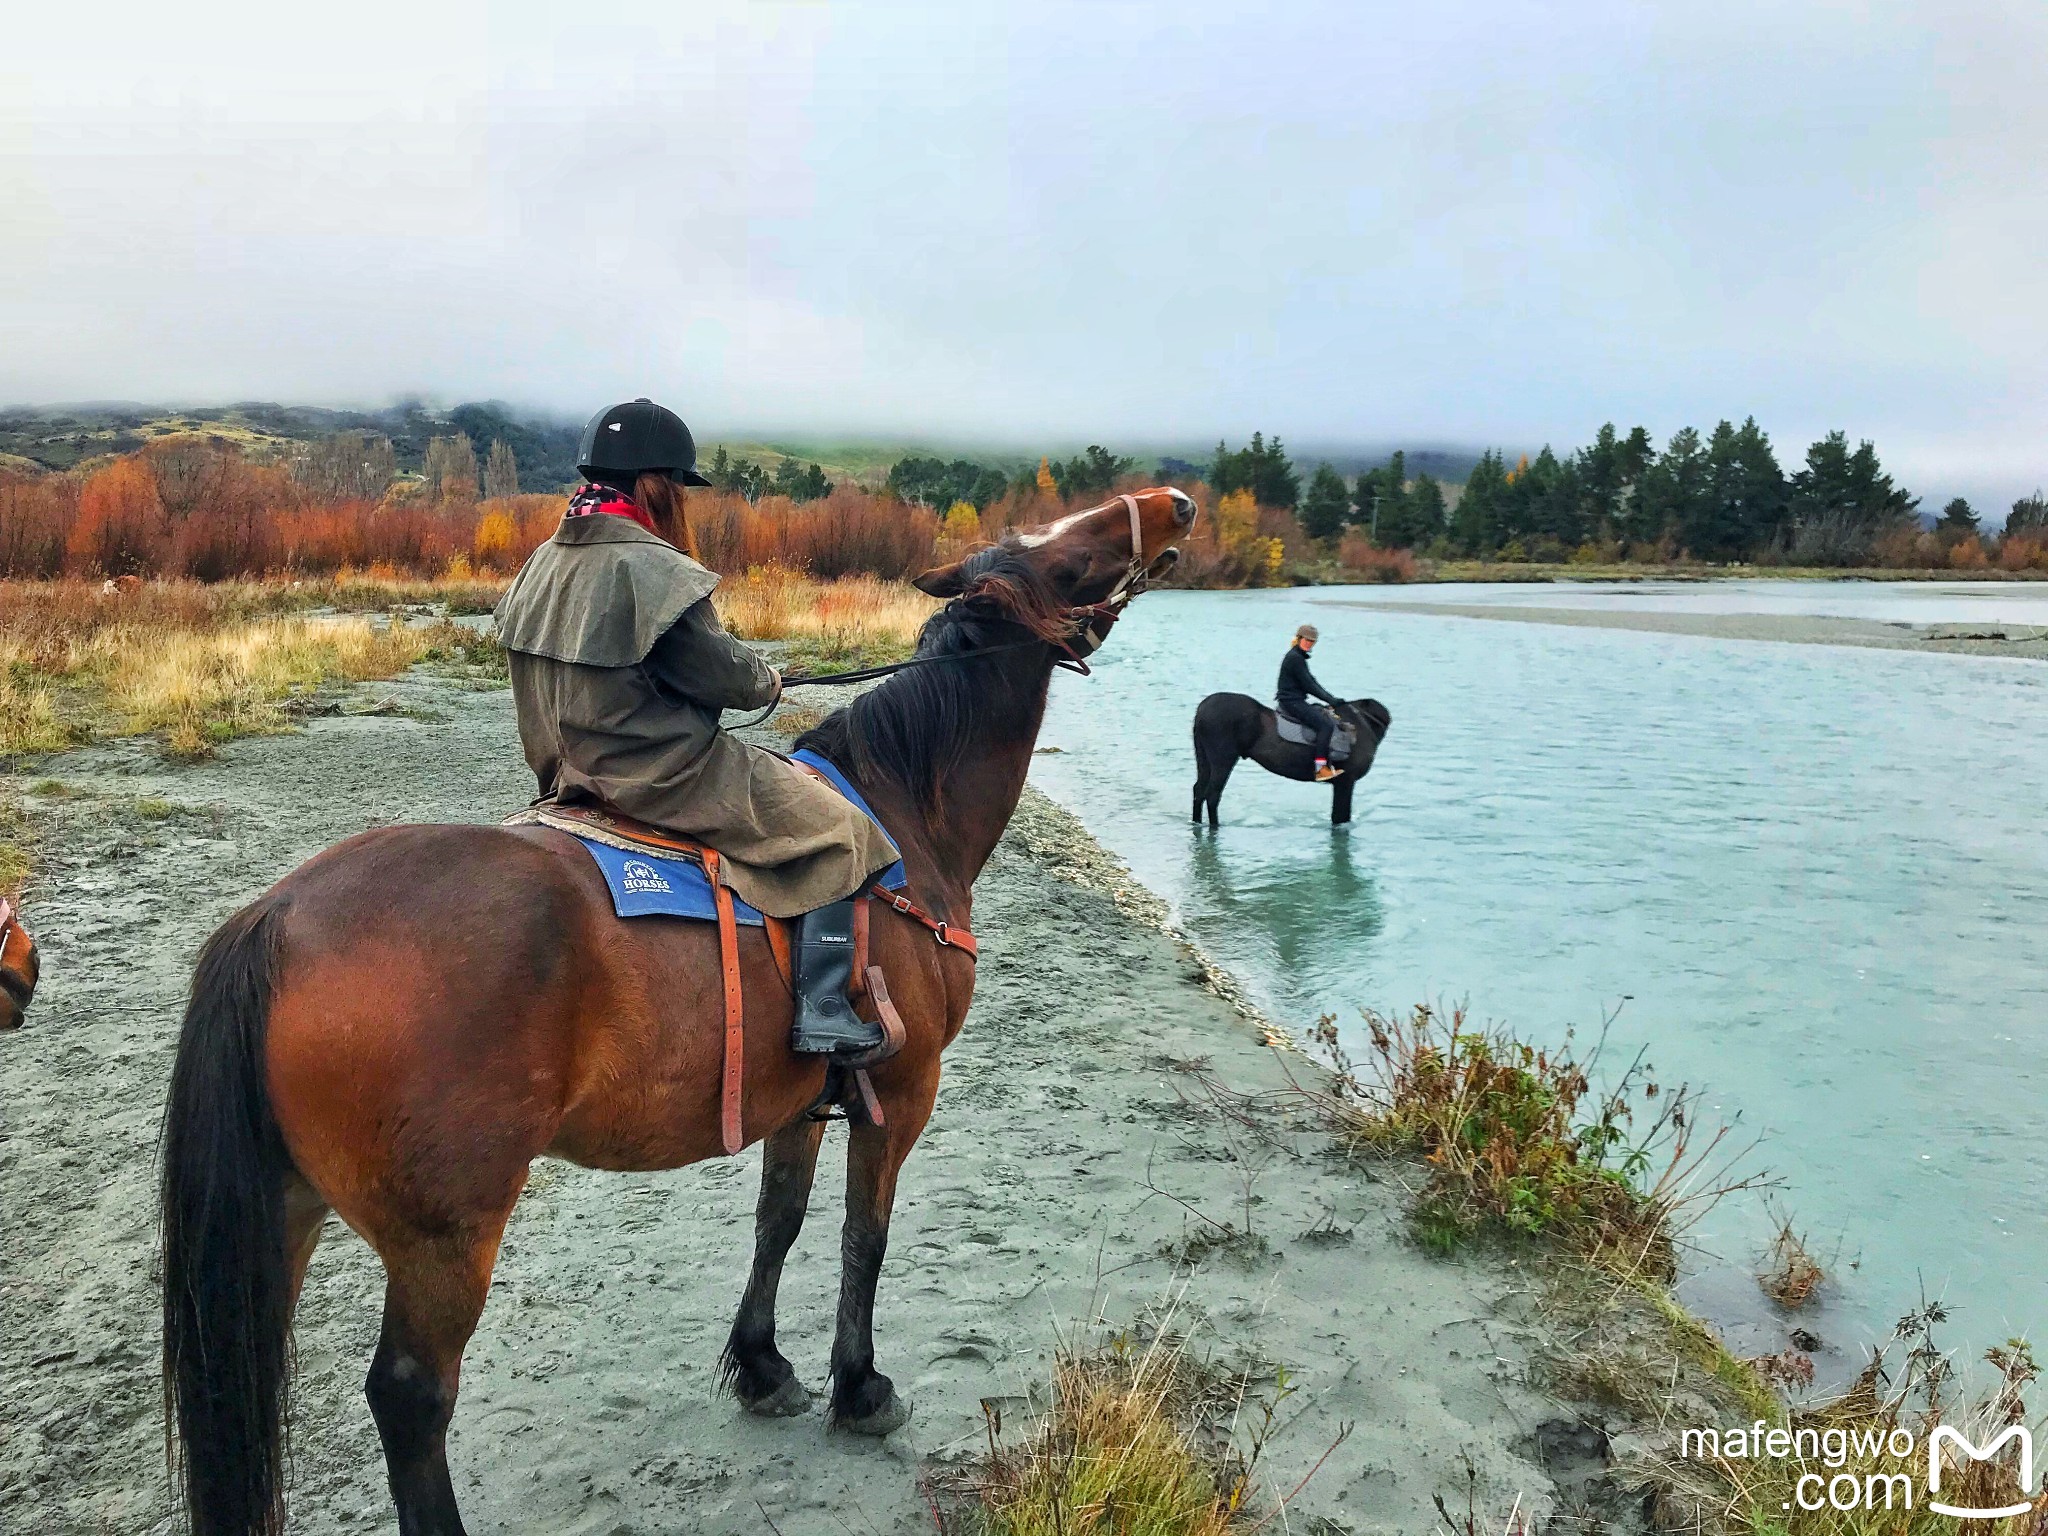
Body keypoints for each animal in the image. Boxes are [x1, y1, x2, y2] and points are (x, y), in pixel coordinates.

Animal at [159, 489, 1196, 1536]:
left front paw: (765, 1367)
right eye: (1065, 560)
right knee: (411, 1396)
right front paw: (858, 1385)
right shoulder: (901, 1093)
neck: (908, 813)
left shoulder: (801, 1101)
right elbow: (865, 1237)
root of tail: (277, 918)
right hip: (443, 1241)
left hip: (287, 1215)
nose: (1170, 505)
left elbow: (780, 1221)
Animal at [1187, 692, 1392, 823]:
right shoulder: (1345, 782)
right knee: (1212, 795)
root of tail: (1202, 710)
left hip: (1204, 758)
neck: (1364, 724)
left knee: (1199, 790)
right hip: (1223, 759)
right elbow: (1340, 818)